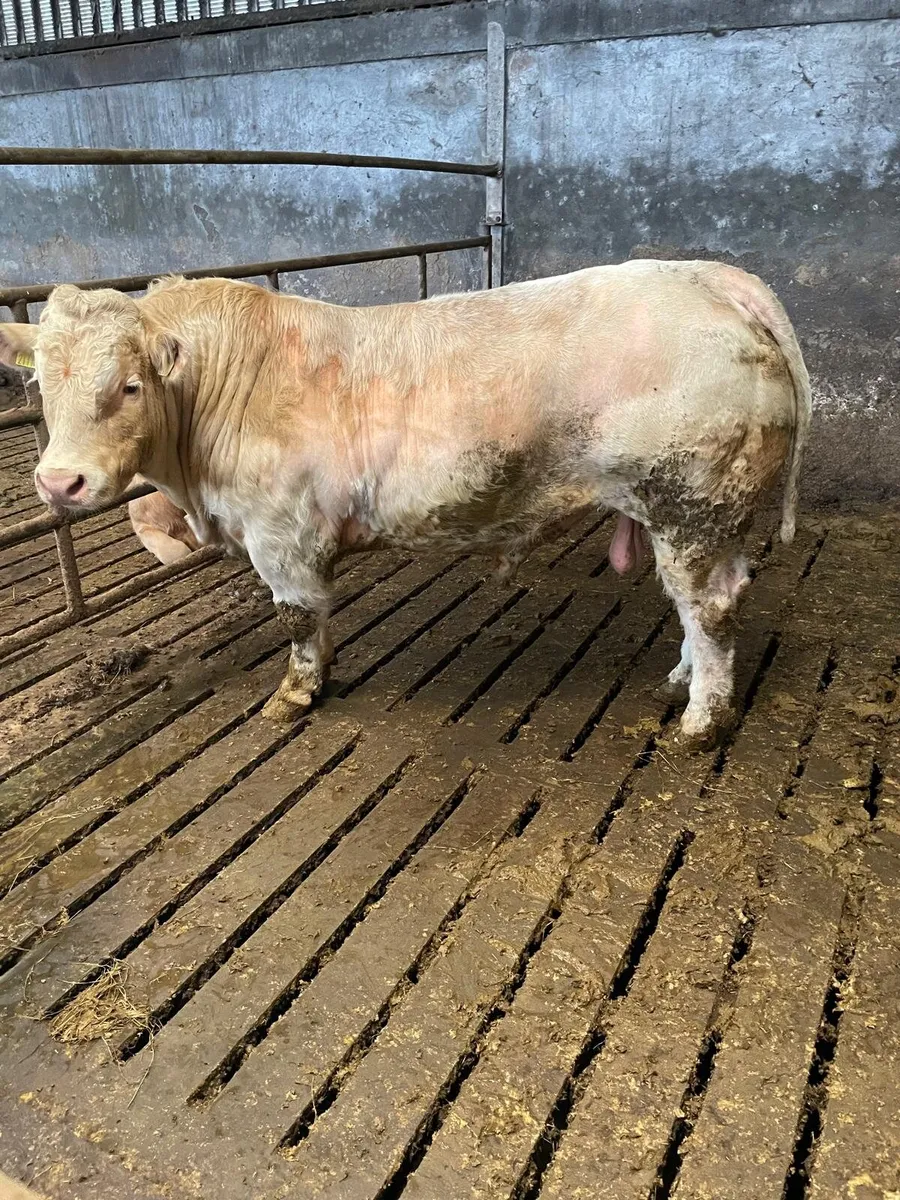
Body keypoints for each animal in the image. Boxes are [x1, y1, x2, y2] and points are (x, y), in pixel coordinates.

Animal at [0, 259, 811, 750]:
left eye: (130, 384)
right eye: (38, 384)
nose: (60, 484)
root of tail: (707, 276)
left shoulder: (280, 535)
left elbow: (298, 620)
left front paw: (295, 694)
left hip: (690, 502)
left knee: (710, 609)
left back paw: (702, 720)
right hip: (702, 513)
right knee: (709, 597)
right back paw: (681, 680)